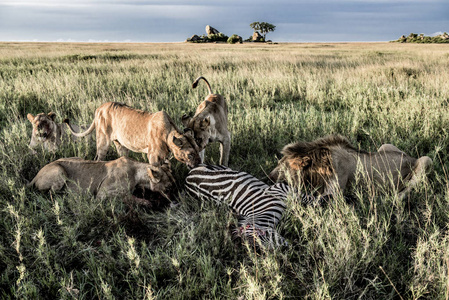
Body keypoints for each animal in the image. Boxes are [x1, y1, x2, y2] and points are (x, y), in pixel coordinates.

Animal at [64, 102, 200, 169]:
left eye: (198, 151)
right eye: (190, 154)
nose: (199, 164)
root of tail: (99, 108)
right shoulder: (153, 156)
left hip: (120, 144)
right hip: (103, 140)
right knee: (98, 158)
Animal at [270, 135, 430, 202]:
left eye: (283, 166)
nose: (269, 177)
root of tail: (410, 157)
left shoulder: (334, 191)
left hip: (426, 160)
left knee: (407, 189)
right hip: (385, 146)